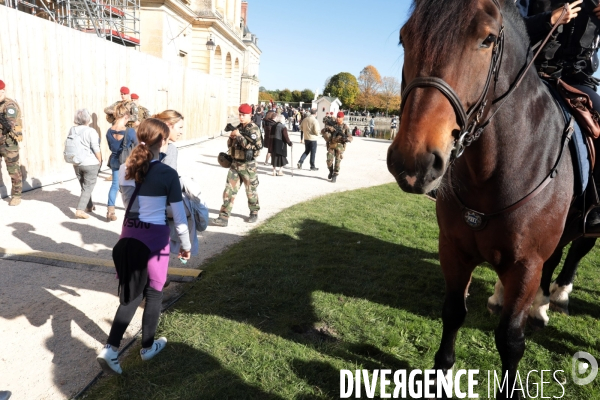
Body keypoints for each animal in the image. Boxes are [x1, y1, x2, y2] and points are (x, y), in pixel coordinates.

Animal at [386, 1, 580, 398]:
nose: (413, 162)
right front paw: (441, 375)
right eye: (404, 37)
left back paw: (555, 297)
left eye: (487, 39)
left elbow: (510, 340)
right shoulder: (453, 249)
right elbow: (453, 312)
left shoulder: (526, 265)